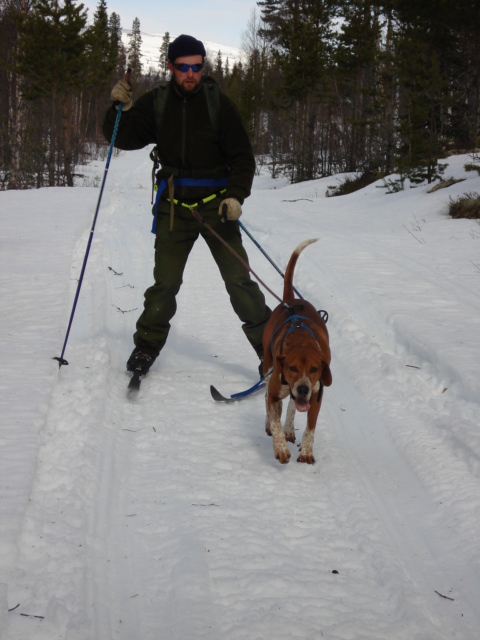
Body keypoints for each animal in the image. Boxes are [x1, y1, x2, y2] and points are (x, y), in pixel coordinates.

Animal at [260, 240, 332, 464]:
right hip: (268, 366)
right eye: (291, 367)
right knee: (268, 398)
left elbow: (310, 428)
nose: (302, 388)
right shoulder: (276, 390)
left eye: (315, 369)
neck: (302, 341)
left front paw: (306, 452)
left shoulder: (316, 396)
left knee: (291, 406)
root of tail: (289, 302)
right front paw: (280, 448)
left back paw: (289, 428)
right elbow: (274, 418)